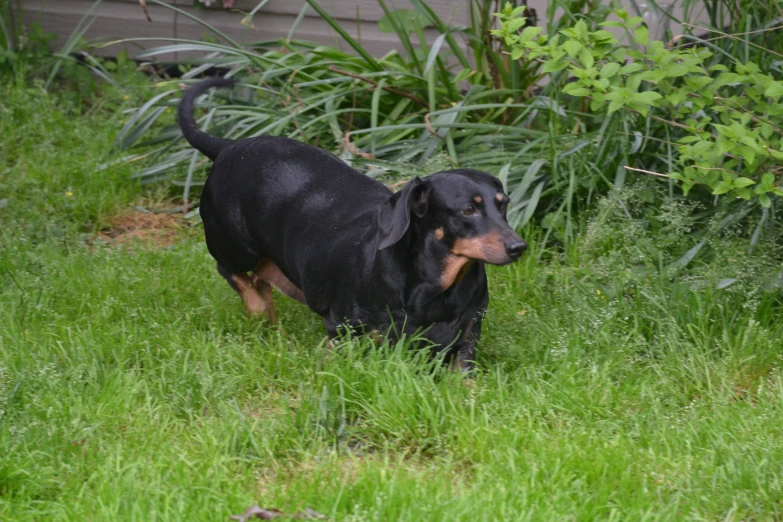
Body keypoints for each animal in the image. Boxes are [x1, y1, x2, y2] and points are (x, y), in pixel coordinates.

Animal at [179, 78, 528, 370]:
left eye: (504, 205)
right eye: (468, 210)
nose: (518, 247)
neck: (437, 287)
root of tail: (229, 147)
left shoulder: (468, 335)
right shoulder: (343, 328)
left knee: (262, 279)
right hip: (236, 246)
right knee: (233, 272)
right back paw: (256, 309)